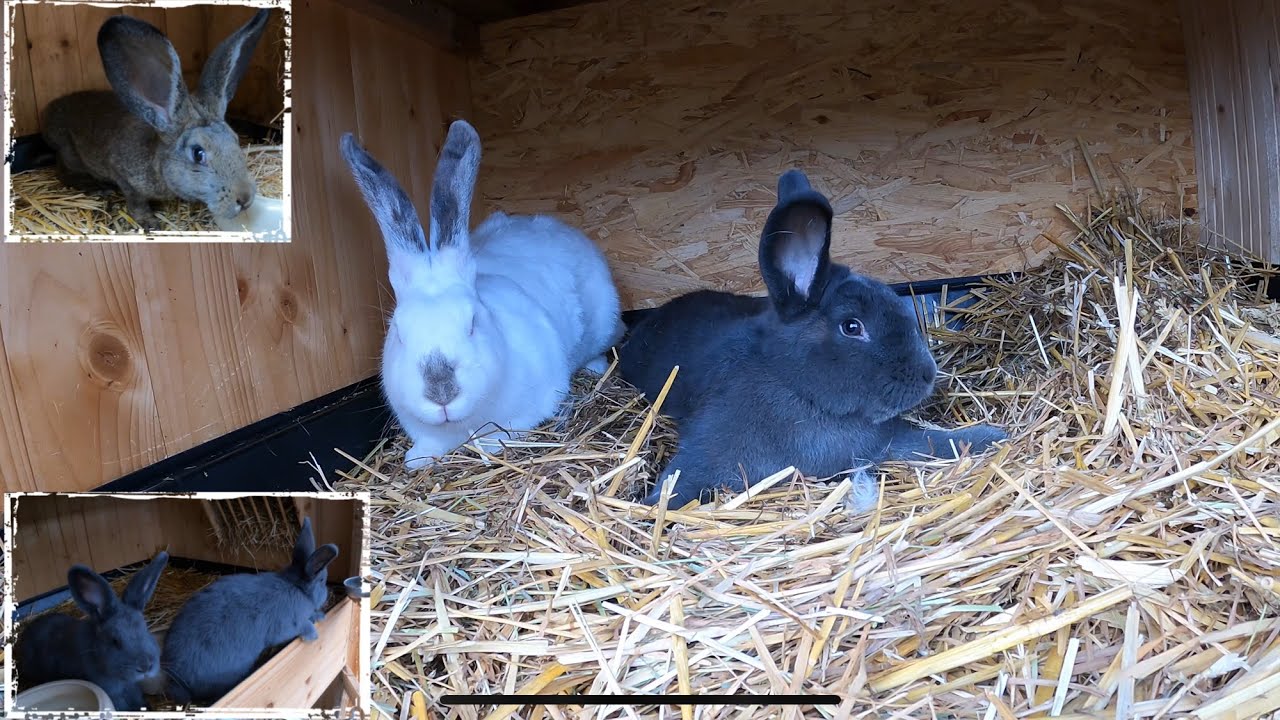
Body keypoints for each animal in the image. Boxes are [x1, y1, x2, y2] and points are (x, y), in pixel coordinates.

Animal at [15, 551, 169, 712]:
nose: (145, 667)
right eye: (114, 641)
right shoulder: (111, 690)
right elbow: (120, 704)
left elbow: (137, 696)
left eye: (146, 629)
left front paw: (145, 707)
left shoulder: (132, 687)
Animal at [40, 9, 272, 231]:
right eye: (198, 154)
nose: (245, 198)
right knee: (63, 171)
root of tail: (49, 112)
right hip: (68, 150)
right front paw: (149, 222)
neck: (158, 163)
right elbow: (136, 202)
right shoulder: (124, 177)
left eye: (235, 139)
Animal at [160, 517, 338, 706]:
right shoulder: (287, 626)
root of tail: (177, 681)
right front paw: (313, 635)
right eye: (322, 581)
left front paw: (320, 616)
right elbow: (303, 626)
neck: (295, 586)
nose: (327, 593)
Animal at [618, 169, 1008, 509]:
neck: (799, 391)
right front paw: (649, 509)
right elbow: (681, 484)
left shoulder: (889, 440)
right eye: (852, 327)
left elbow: (937, 441)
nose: (928, 375)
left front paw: (993, 437)